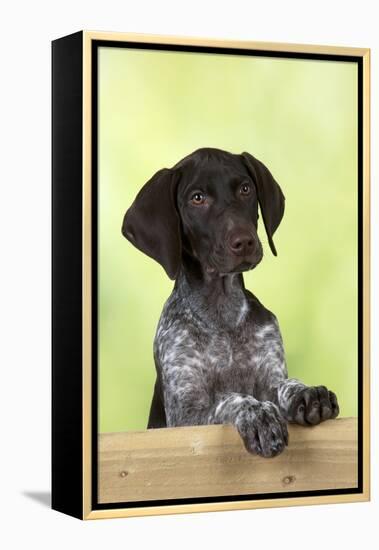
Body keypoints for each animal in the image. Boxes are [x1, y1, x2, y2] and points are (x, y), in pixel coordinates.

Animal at [122, 149, 342, 460]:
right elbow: (231, 399)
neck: (222, 314)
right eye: (197, 198)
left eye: (245, 189)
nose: (245, 241)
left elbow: (284, 385)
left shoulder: (271, 376)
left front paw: (306, 391)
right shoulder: (185, 415)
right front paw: (257, 413)